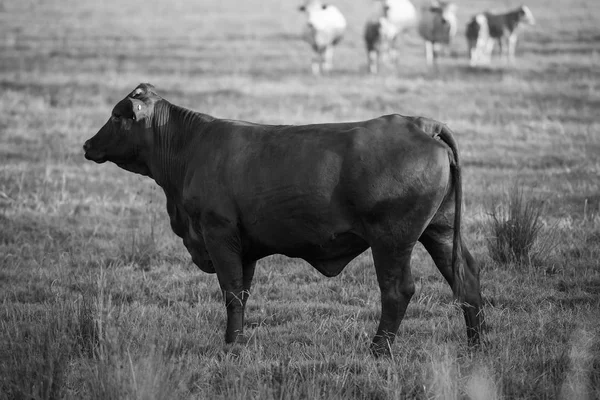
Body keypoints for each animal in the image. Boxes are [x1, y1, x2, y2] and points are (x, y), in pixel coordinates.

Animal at [84, 83, 486, 354]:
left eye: (117, 116)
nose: (87, 144)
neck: (190, 149)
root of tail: (421, 123)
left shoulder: (218, 233)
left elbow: (231, 291)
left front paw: (231, 347)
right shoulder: (242, 247)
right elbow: (242, 293)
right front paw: (237, 340)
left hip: (391, 240)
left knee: (397, 290)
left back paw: (378, 351)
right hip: (439, 230)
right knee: (465, 279)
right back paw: (477, 346)